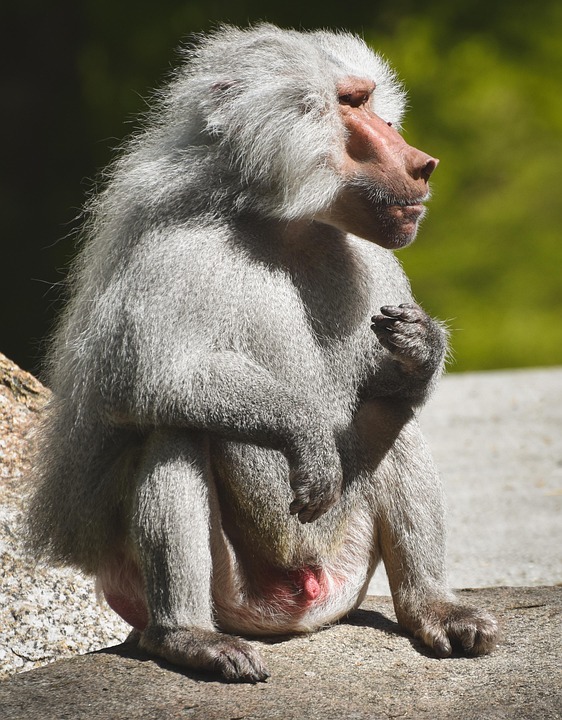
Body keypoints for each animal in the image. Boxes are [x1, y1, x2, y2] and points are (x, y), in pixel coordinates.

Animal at [27, 25, 499, 683]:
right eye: (350, 104)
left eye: (370, 99)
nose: (422, 164)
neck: (281, 225)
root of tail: (299, 606)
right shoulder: (170, 244)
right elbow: (132, 381)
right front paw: (306, 434)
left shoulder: (375, 259)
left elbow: (392, 383)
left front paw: (420, 346)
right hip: (220, 591)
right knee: (173, 429)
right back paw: (190, 638)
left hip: (344, 556)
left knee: (393, 419)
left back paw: (434, 609)